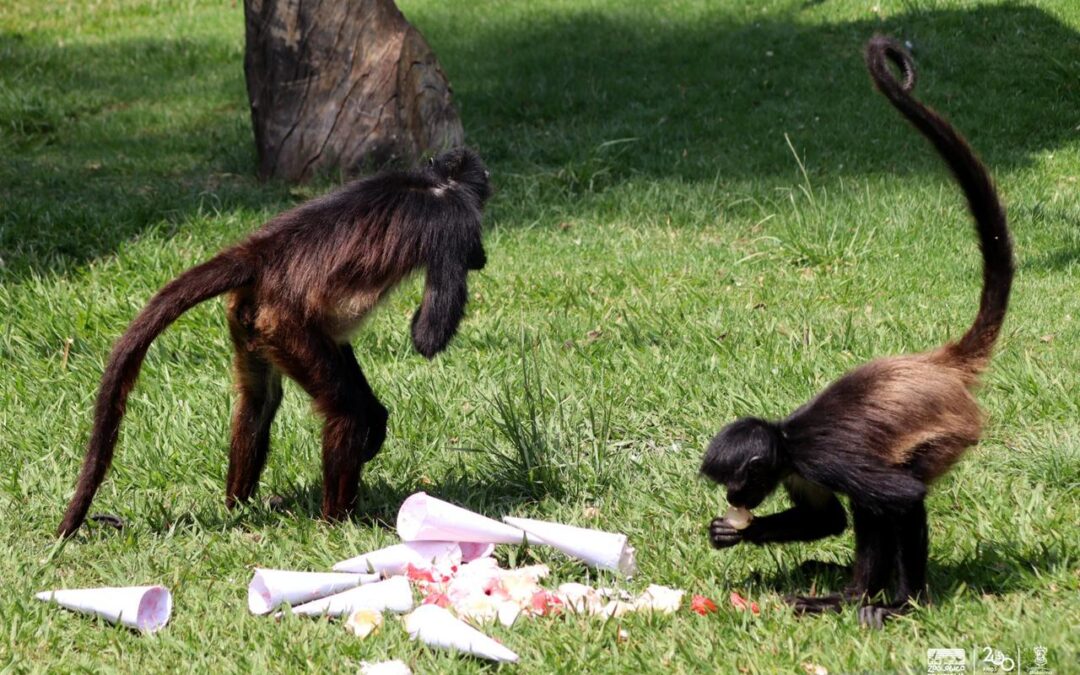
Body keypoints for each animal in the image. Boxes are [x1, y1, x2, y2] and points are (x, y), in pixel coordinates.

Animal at [61, 146, 492, 537]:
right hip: (283, 323)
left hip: (250, 320)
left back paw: (238, 506)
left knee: (260, 401)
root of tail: (261, 254)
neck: (434, 181)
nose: (483, 257)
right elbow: (427, 337)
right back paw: (338, 522)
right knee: (345, 412)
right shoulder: (455, 221)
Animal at [699, 36, 1010, 626]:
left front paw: (904, 605)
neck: (787, 437)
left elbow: (902, 499)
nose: (733, 500)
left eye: (737, 480)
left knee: (880, 504)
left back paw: (861, 597)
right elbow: (827, 522)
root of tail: (936, 364)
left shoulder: (822, 459)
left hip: (946, 435)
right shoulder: (796, 467)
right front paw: (731, 532)